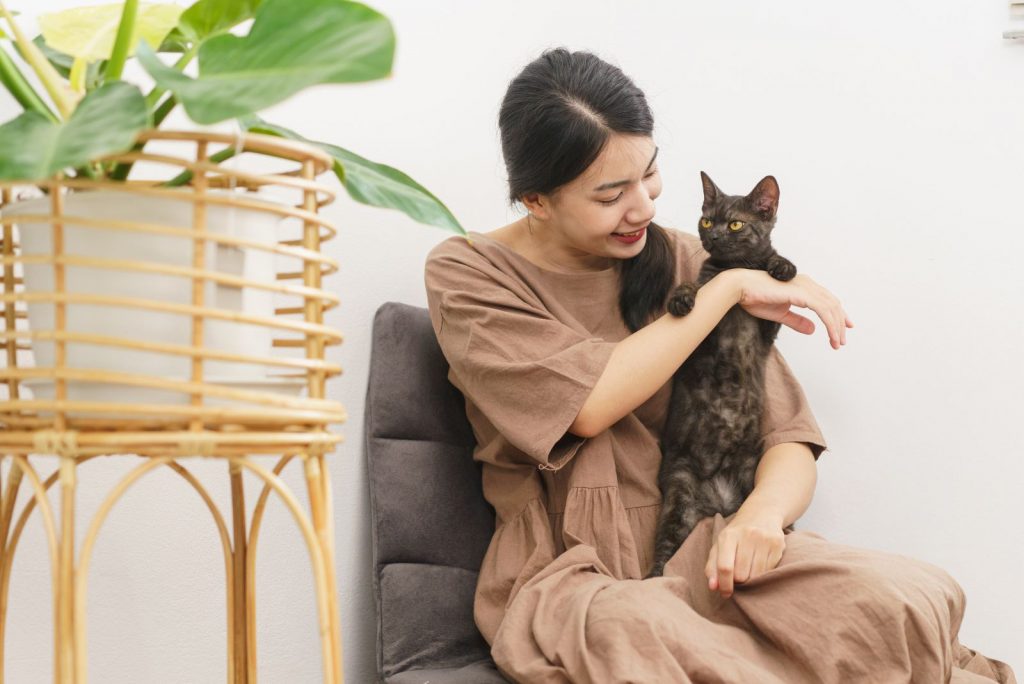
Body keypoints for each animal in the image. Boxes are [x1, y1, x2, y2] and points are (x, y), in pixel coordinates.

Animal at [618, 171, 794, 577]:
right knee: (665, 554)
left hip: (748, 475)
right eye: (707, 221)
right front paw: (682, 298)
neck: (735, 269)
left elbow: (772, 269)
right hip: (679, 496)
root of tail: (719, 502)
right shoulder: (704, 331)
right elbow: (698, 286)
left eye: (735, 224)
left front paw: (782, 266)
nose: (712, 239)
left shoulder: (767, 333)